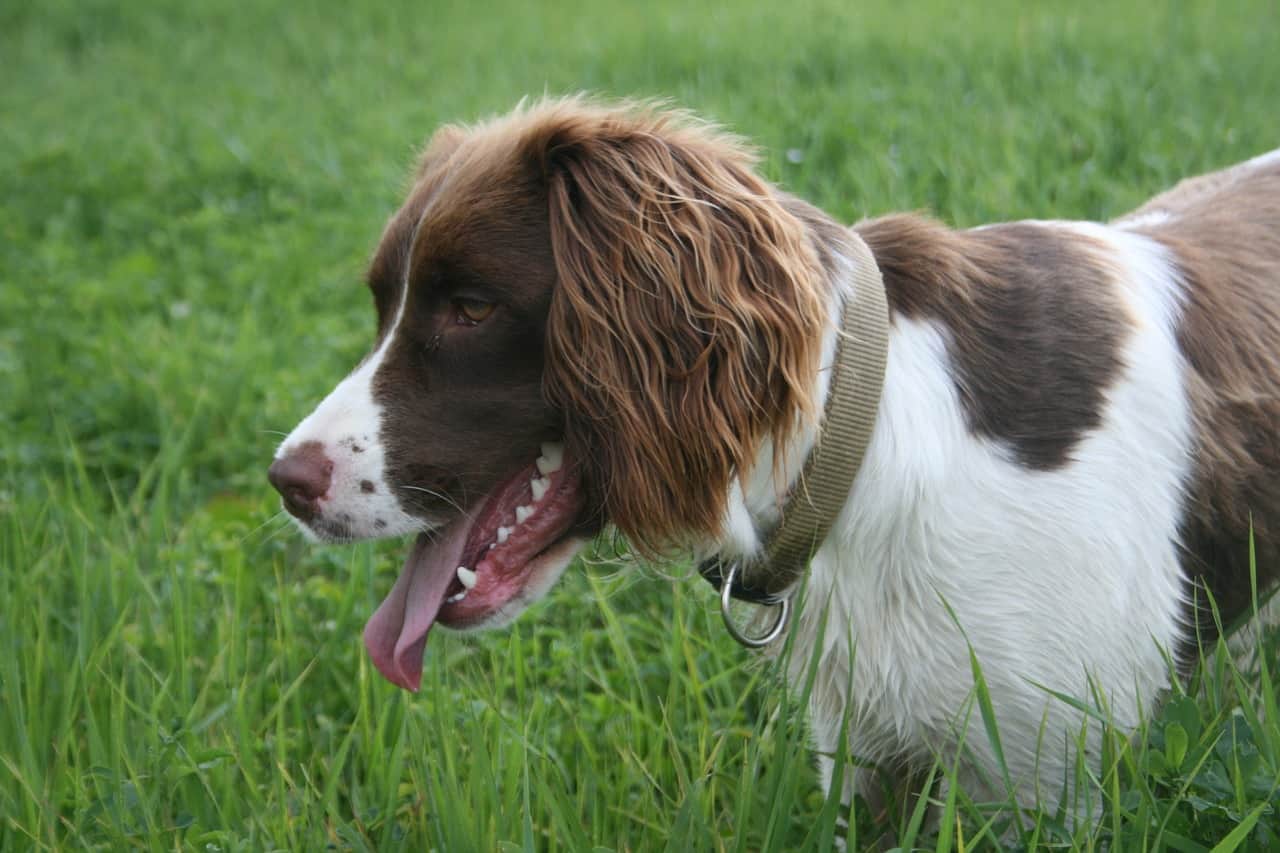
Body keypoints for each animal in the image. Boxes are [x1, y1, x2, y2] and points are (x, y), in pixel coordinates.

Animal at [264, 96, 1274, 819]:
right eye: (383, 301)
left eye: (470, 307)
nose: (286, 482)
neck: (858, 439)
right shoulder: (864, 753)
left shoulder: (1052, 770)